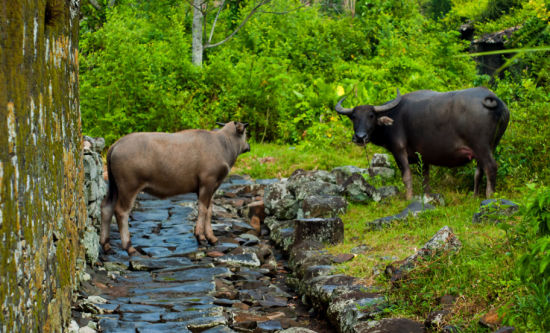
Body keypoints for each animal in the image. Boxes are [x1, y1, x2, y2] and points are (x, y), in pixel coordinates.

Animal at [100, 122, 251, 254]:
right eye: (246, 133)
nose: (248, 146)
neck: (223, 144)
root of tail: (116, 145)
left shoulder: (212, 188)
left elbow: (209, 211)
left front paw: (212, 238)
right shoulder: (207, 184)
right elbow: (202, 210)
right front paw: (201, 237)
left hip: (114, 187)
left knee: (107, 208)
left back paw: (106, 245)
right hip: (128, 187)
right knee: (121, 212)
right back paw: (129, 247)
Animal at [336, 87, 512, 198]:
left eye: (371, 116)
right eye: (354, 117)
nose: (360, 137)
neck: (394, 117)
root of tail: (494, 100)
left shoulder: (399, 151)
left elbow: (407, 176)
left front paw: (408, 198)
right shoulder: (423, 156)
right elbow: (425, 178)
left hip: (481, 146)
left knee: (491, 167)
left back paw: (489, 196)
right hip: (490, 145)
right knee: (479, 171)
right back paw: (475, 196)